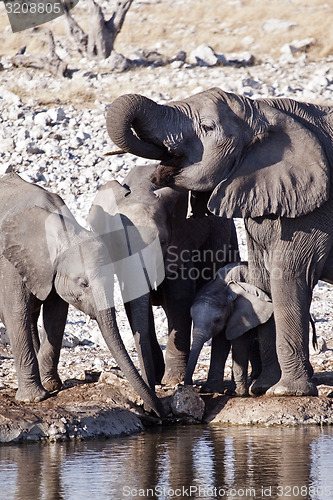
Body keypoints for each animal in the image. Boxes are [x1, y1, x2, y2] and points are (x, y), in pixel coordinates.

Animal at [0, 172, 162, 418]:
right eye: (83, 284)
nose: (158, 412)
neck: (64, 230)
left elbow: (56, 317)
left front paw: (51, 386)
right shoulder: (10, 263)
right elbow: (16, 313)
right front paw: (34, 398)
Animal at [88, 165, 239, 390]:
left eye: (161, 242)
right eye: (116, 245)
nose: (151, 388)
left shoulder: (183, 242)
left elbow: (179, 299)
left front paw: (173, 380)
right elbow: (132, 303)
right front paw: (157, 377)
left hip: (229, 239)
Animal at [184, 264, 272, 396]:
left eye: (217, 320)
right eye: (192, 317)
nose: (189, 385)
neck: (224, 285)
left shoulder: (247, 313)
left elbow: (240, 343)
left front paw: (236, 393)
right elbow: (220, 345)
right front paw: (210, 390)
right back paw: (254, 377)